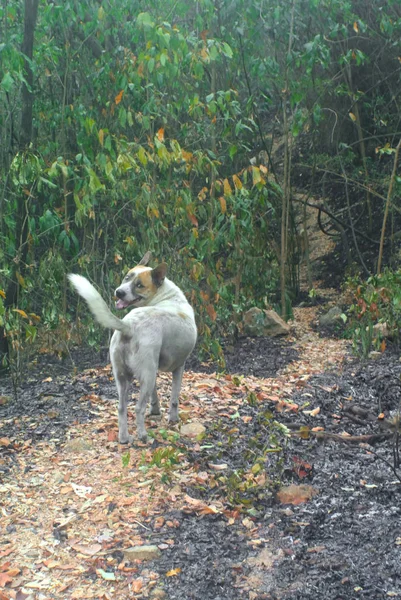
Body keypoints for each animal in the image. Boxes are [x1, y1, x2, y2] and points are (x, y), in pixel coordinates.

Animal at [68, 251, 197, 442]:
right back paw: (143, 436)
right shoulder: (179, 367)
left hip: (123, 378)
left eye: (139, 285)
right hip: (147, 375)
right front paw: (173, 419)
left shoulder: (154, 373)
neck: (166, 296)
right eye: (126, 278)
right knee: (137, 409)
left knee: (121, 408)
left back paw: (123, 438)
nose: (119, 292)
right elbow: (174, 398)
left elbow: (154, 395)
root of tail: (129, 326)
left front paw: (155, 411)